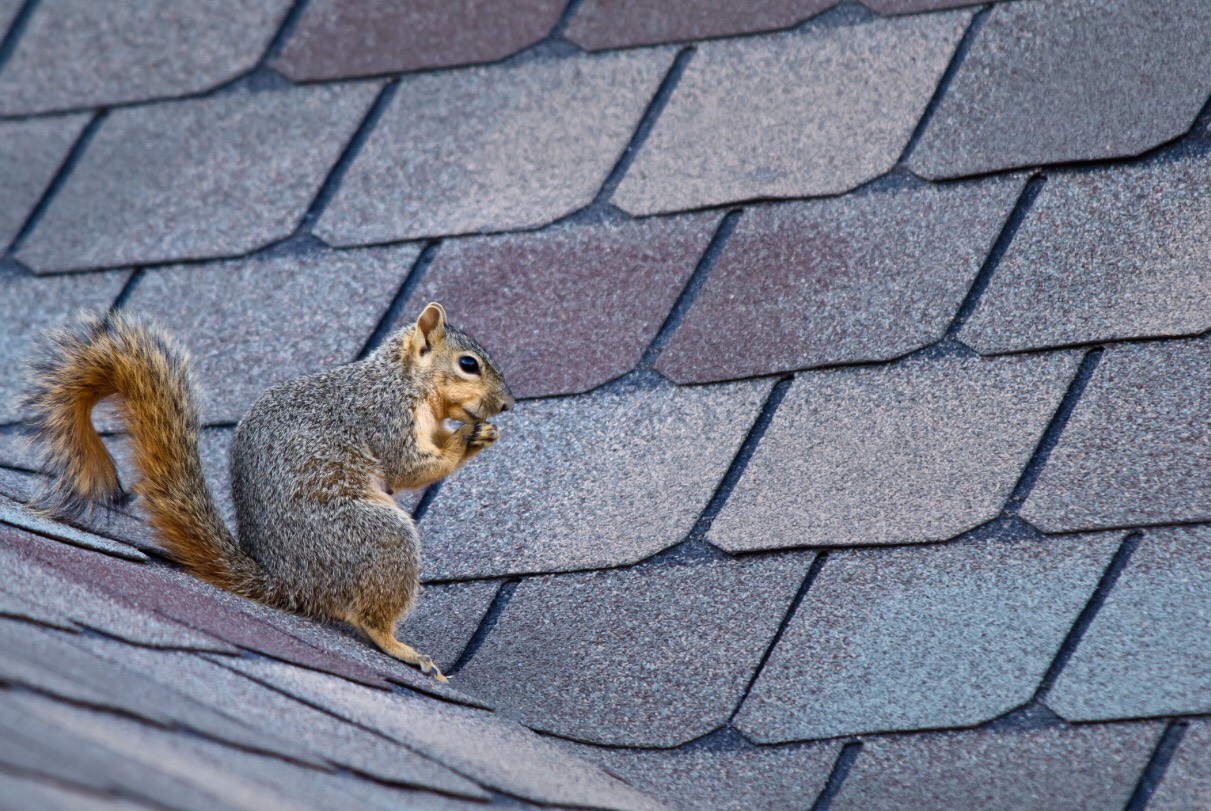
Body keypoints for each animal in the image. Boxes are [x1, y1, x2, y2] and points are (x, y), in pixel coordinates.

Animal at [24, 301, 511, 682]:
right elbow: (408, 465)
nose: (506, 404)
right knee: (369, 617)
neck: (403, 379)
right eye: (468, 364)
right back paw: (402, 648)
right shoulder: (383, 416)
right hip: (378, 536)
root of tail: (290, 585)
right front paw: (466, 440)